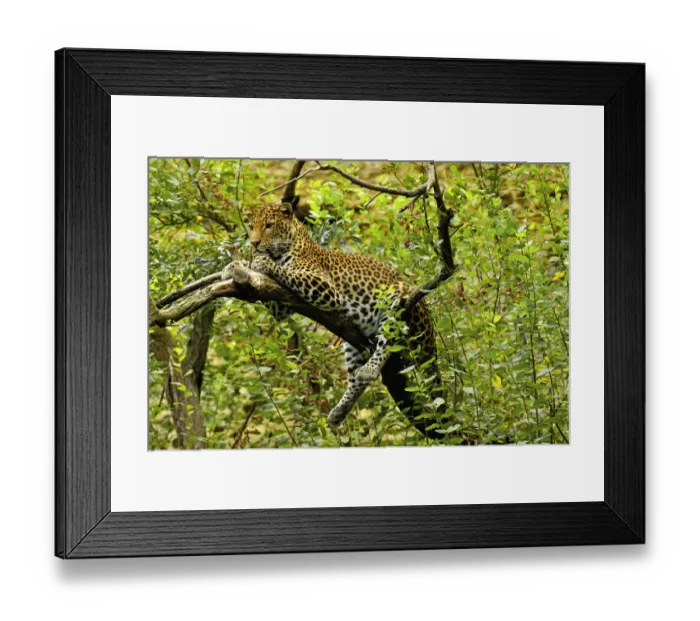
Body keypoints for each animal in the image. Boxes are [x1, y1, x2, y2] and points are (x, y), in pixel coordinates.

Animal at [224, 198, 445, 438]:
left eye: (269, 226)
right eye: (251, 226)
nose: (254, 243)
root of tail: (431, 332)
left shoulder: (326, 287)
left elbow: (287, 272)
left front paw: (260, 263)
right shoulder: (280, 306)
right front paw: (233, 267)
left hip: (396, 302)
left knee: (387, 344)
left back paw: (370, 370)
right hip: (352, 345)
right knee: (356, 381)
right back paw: (339, 412)